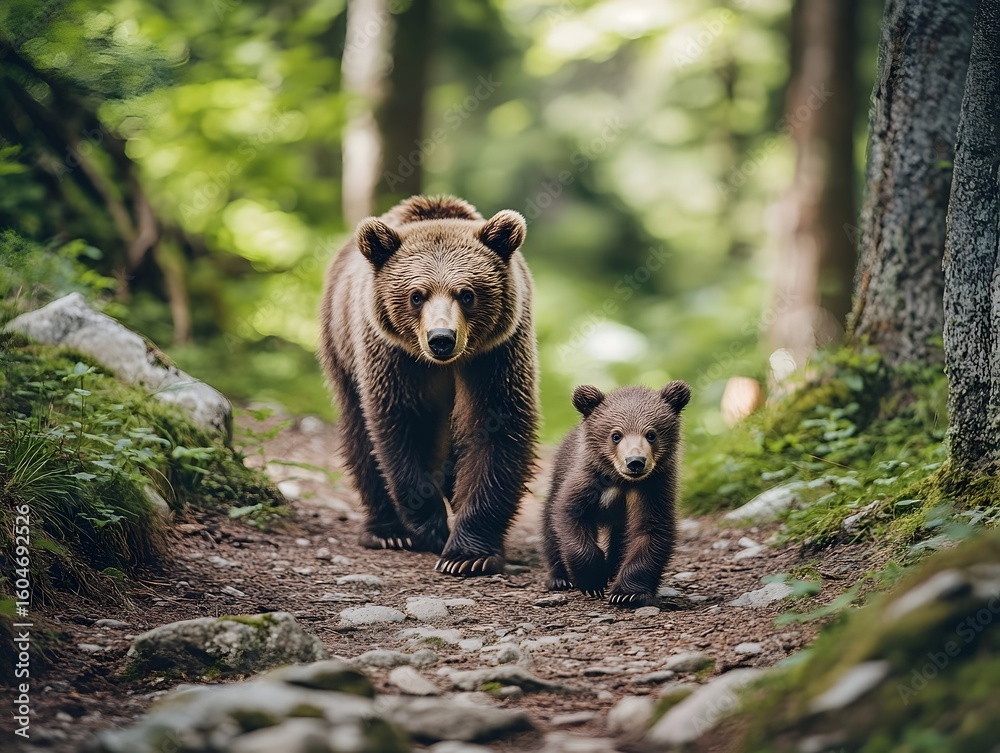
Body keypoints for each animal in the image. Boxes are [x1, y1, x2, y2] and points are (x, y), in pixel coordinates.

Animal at [319, 195, 539, 577]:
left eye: (467, 294)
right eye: (416, 295)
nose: (441, 338)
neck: (445, 365)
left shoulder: (496, 356)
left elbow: (497, 429)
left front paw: (468, 554)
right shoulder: (395, 357)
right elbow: (405, 426)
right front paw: (431, 526)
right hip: (341, 345)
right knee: (360, 436)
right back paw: (386, 531)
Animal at [541, 381, 691, 607]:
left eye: (651, 434)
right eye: (616, 435)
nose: (635, 461)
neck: (621, 482)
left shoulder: (652, 488)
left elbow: (650, 531)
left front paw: (627, 593)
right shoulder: (586, 482)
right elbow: (569, 516)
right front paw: (593, 580)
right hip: (558, 474)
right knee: (549, 524)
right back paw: (560, 578)